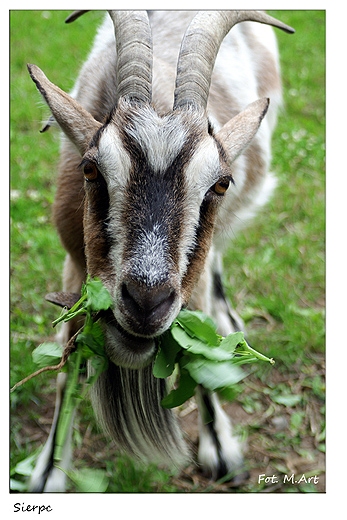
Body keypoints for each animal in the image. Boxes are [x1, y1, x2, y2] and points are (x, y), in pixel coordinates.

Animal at [27, 11, 294, 492]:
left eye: (221, 183)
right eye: (90, 169)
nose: (146, 303)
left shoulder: (193, 282)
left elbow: (203, 355)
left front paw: (220, 449)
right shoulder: (76, 265)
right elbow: (68, 365)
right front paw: (48, 471)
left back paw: (230, 316)